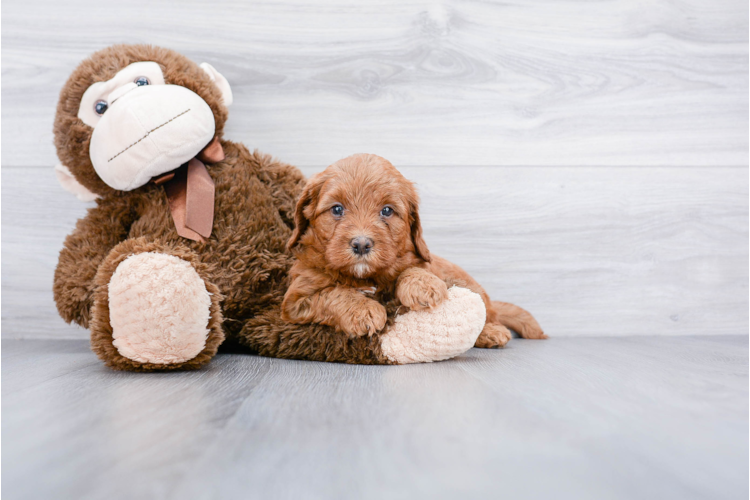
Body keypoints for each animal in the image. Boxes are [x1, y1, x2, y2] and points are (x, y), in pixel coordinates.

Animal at [282, 153, 548, 348]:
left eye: (387, 211)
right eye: (337, 209)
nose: (361, 244)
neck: (365, 277)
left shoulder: (418, 260)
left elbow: (413, 268)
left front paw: (423, 285)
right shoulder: (296, 301)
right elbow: (331, 293)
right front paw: (363, 310)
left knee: (485, 313)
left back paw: (490, 332)